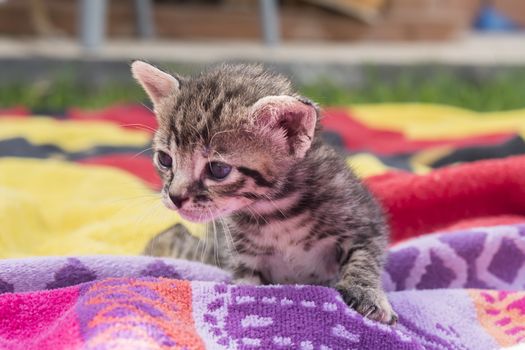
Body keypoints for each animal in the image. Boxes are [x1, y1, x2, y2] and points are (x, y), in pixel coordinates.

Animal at [132, 60, 398, 326]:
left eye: (218, 170)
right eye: (165, 159)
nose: (175, 198)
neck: (276, 211)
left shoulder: (364, 218)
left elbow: (365, 256)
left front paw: (366, 293)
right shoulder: (243, 259)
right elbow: (248, 286)